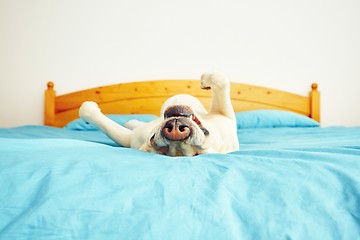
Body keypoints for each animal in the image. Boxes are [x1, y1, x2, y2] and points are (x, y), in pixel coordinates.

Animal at [80, 72, 240, 157]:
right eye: (159, 146)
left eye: (198, 153)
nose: (175, 130)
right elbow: (220, 79)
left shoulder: (224, 114)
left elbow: (220, 81)